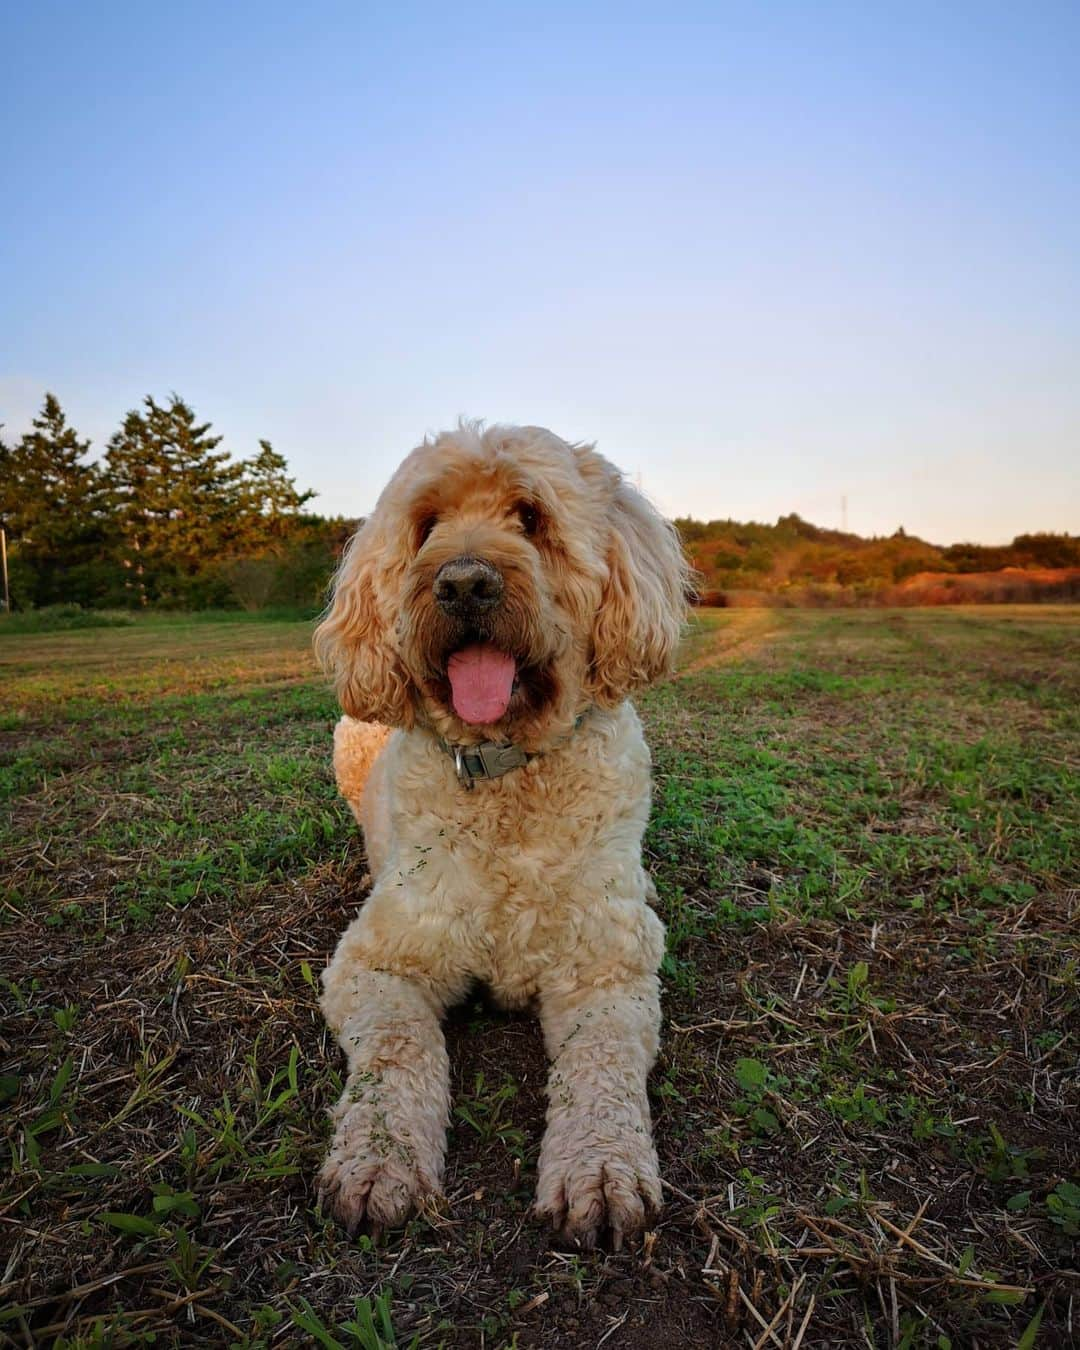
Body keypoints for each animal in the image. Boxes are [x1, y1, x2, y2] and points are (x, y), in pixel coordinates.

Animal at [311, 418, 688, 1242]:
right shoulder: (379, 963)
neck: (507, 771)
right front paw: (379, 1162)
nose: (462, 583)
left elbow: (602, 1066)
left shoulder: (606, 969)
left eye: (530, 516)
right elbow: (396, 1051)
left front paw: (600, 1170)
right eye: (425, 524)